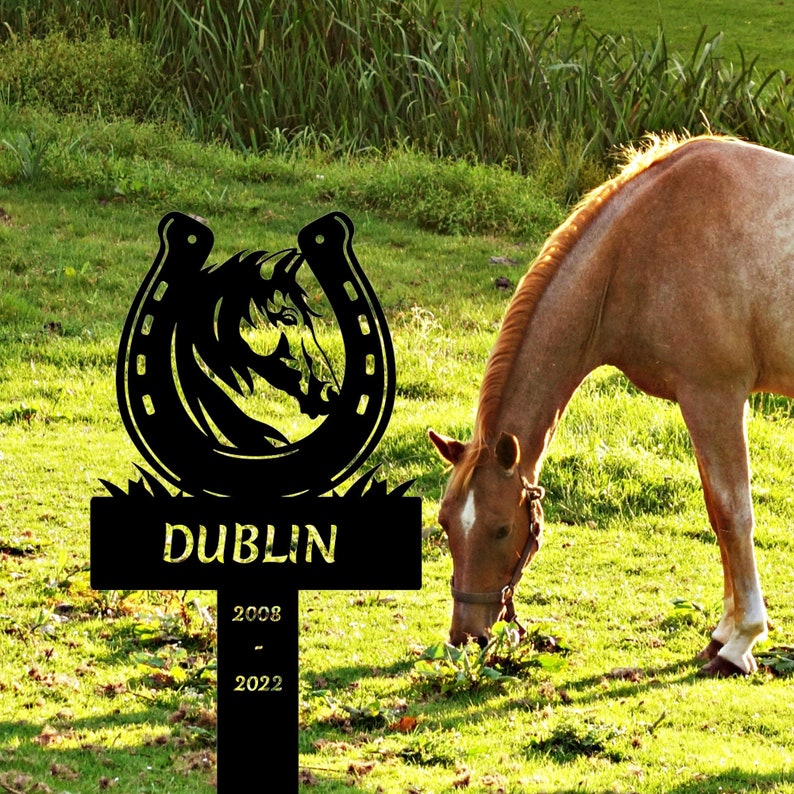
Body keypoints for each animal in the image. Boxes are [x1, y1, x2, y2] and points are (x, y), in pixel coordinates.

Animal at [429, 134, 794, 677]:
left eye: (500, 529)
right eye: (445, 522)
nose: (466, 638)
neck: (641, 245)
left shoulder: (716, 397)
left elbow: (734, 515)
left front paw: (741, 641)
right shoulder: (703, 404)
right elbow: (716, 514)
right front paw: (723, 634)